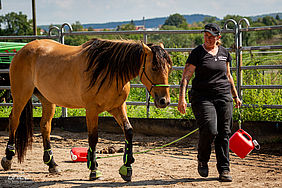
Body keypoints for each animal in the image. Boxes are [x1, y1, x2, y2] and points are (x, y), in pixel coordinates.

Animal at [0, 37, 172, 181]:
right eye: (154, 67)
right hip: (21, 95)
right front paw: (94, 170)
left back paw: (52, 164)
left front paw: (127, 168)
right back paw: (8, 158)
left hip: (47, 100)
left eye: (169, 68)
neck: (108, 70)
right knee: (14, 120)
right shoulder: (91, 110)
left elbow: (128, 131)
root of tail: (23, 50)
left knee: (45, 126)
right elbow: (93, 138)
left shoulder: (118, 107)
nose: (164, 101)